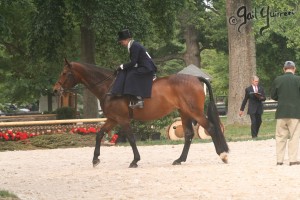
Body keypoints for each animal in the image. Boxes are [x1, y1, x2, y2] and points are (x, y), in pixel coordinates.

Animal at [52, 59, 229, 167]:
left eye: (65, 73)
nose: (55, 90)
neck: (109, 86)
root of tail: (196, 78)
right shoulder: (112, 119)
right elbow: (99, 134)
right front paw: (95, 159)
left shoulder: (122, 119)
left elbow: (131, 138)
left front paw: (135, 160)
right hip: (184, 113)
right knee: (188, 134)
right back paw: (180, 159)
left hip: (194, 112)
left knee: (211, 128)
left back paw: (222, 155)